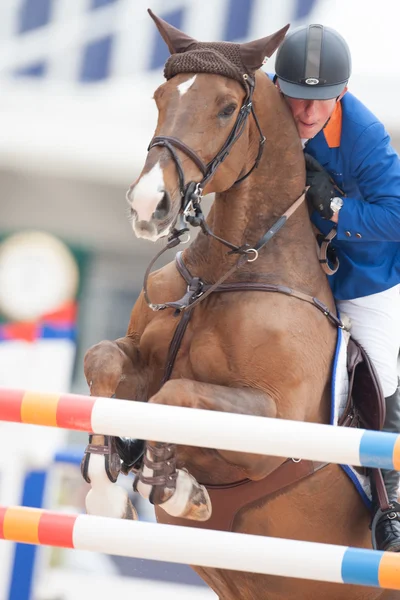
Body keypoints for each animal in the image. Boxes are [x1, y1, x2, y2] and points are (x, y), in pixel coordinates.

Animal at [81, 10, 400, 600]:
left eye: (227, 108)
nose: (148, 205)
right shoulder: (139, 361)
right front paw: (107, 492)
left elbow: (176, 397)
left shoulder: (272, 429)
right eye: (160, 97)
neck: (227, 272)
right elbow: (104, 362)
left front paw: (178, 488)